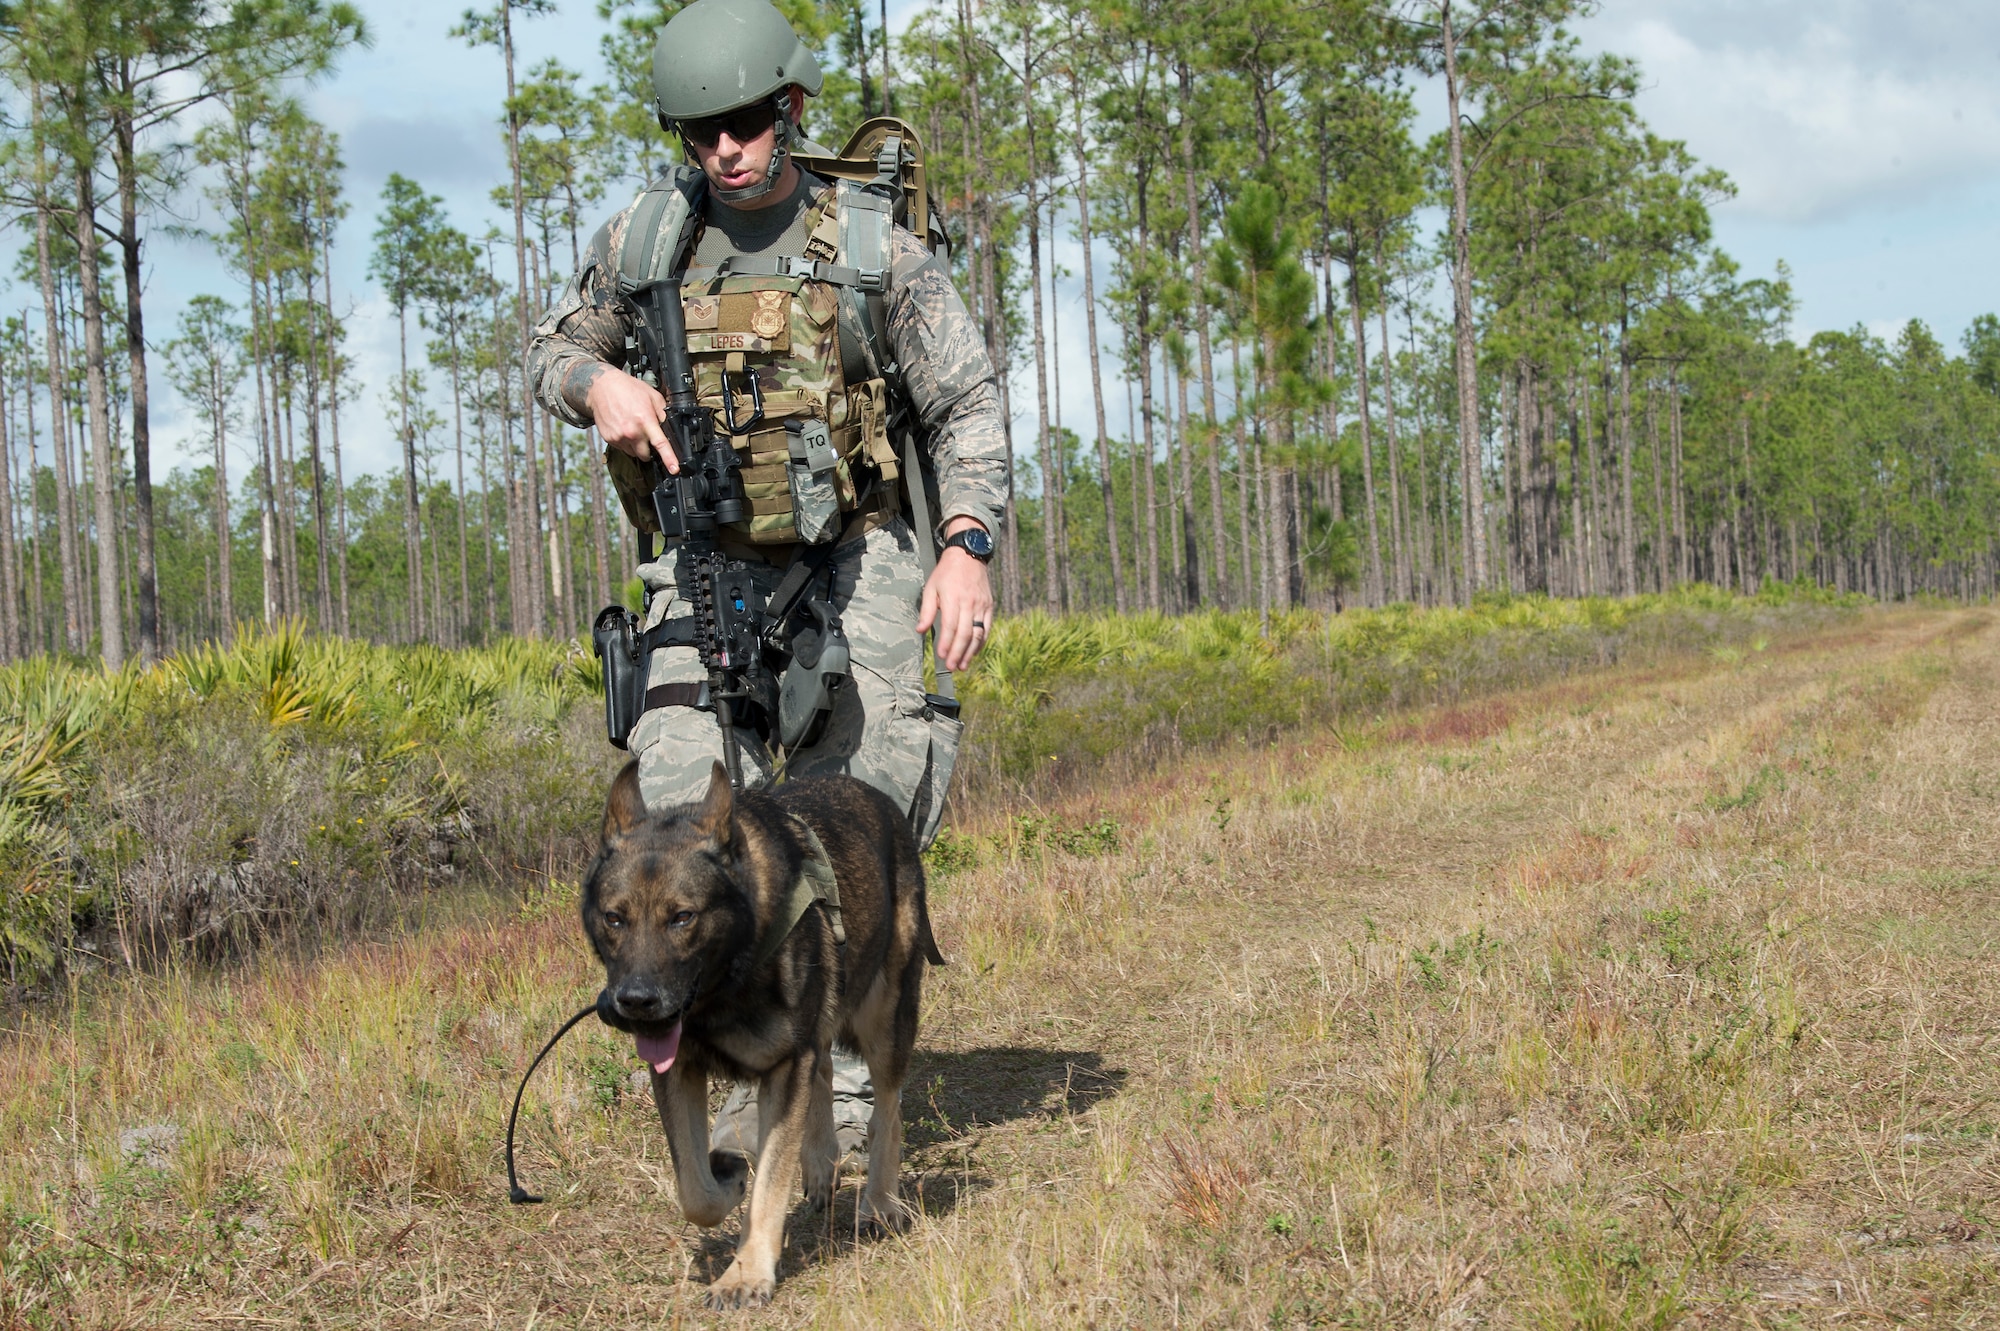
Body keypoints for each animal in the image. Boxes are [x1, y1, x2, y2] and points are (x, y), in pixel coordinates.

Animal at [584, 755, 940, 1303]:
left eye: (682, 917)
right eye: (614, 919)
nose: (634, 1004)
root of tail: (875, 797)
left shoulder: (784, 1067)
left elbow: (771, 1179)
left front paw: (747, 1274)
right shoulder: (678, 1071)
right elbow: (694, 1189)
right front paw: (728, 1181)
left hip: (885, 1017)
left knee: (887, 1109)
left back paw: (880, 1204)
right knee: (826, 1069)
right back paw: (820, 1164)